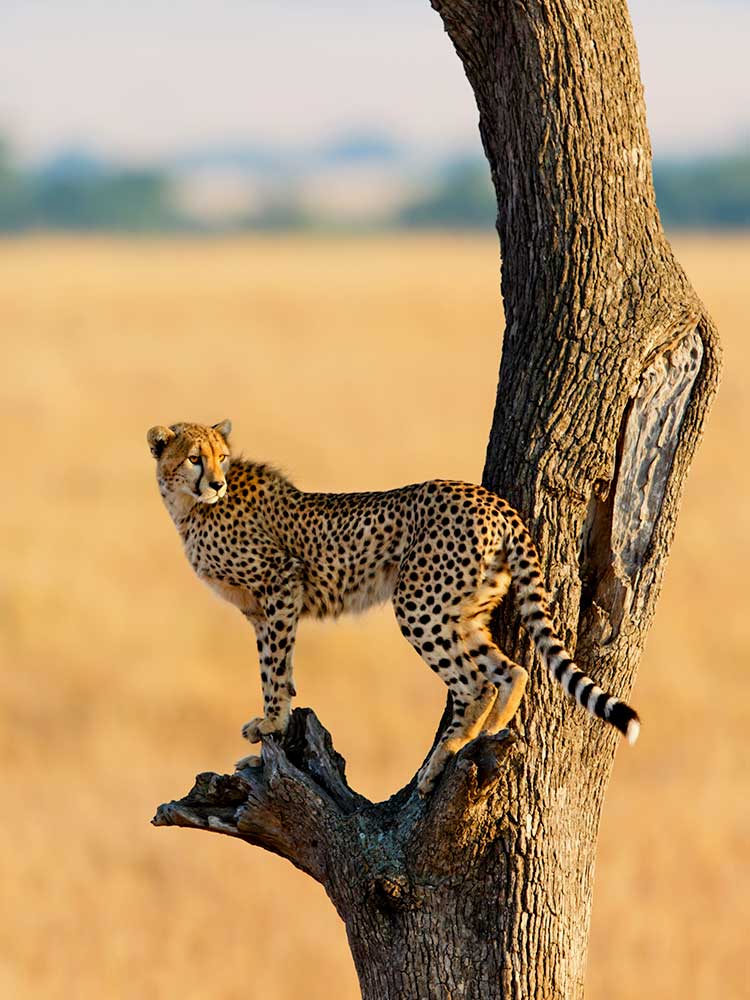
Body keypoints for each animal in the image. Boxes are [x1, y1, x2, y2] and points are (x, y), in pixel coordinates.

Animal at [147, 419, 640, 795]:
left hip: (418, 603)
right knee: (510, 670)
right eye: (195, 457)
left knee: (475, 683)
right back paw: (489, 732)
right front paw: (271, 734)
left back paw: (443, 758)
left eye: (221, 456)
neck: (191, 507)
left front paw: (271, 724)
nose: (217, 482)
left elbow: (273, 669)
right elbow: (279, 669)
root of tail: (491, 500)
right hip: (463, 609)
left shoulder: (281, 582)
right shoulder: (261, 609)